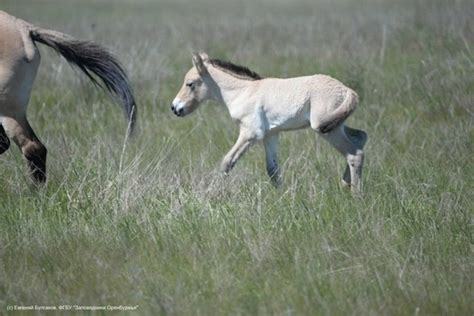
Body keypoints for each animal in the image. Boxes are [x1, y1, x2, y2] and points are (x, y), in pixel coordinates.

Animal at [172, 53, 368, 194]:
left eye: (190, 84)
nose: (175, 108)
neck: (242, 92)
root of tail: (347, 90)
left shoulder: (250, 133)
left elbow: (227, 161)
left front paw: (212, 192)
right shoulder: (270, 135)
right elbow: (272, 169)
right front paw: (281, 197)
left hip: (325, 128)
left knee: (354, 154)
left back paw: (355, 195)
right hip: (336, 125)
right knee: (360, 137)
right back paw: (345, 185)